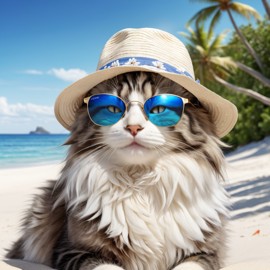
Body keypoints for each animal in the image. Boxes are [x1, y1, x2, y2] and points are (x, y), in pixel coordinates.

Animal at [6, 71, 229, 270]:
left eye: (159, 109)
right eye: (112, 109)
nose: (133, 127)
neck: (140, 183)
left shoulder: (206, 252)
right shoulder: (73, 250)